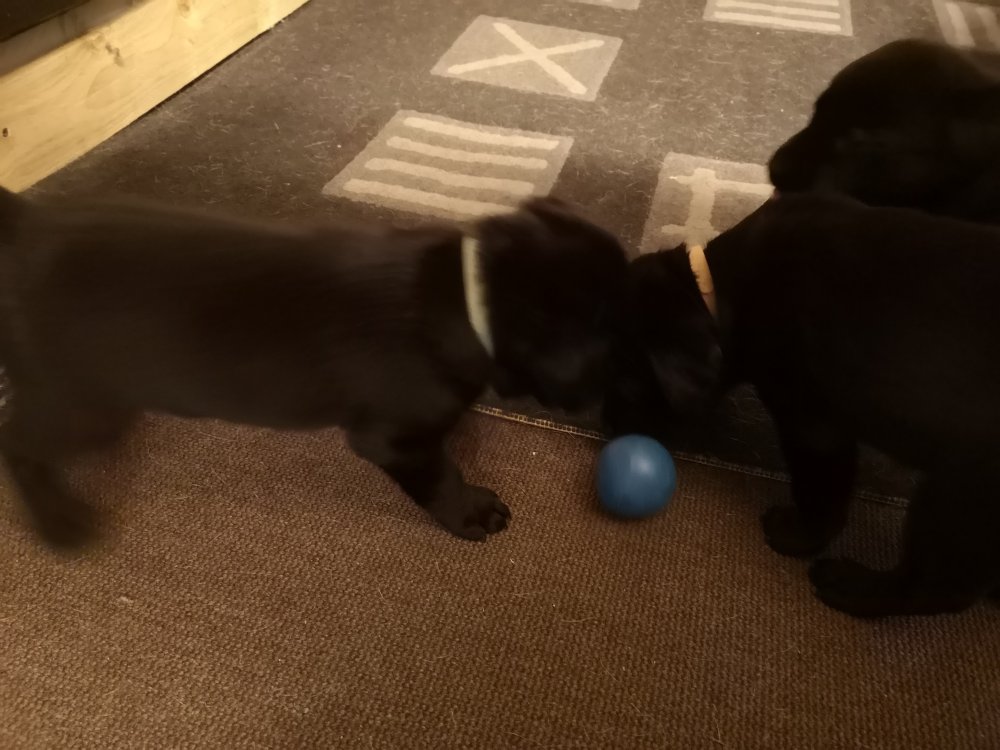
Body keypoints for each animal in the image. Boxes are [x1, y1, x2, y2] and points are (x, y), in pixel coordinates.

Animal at [0, 187, 626, 547]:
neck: (466, 291)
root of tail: (27, 225)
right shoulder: (393, 438)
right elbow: (439, 476)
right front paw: (469, 511)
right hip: (84, 404)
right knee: (18, 442)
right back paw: (57, 521)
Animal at [604, 193, 1000, 617]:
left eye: (627, 385)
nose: (610, 430)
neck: (725, 290)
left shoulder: (811, 423)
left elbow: (819, 490)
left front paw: (797, 535)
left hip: (959, 493)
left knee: (939, 587)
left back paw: (852, 586)